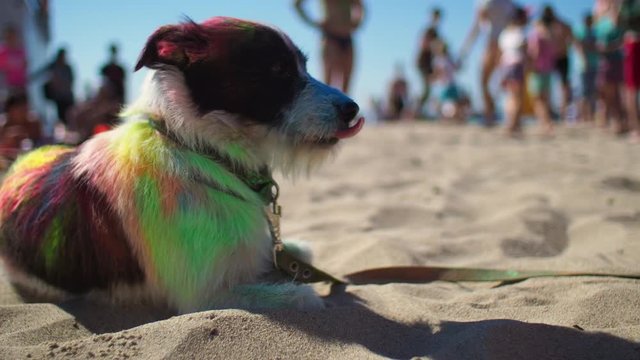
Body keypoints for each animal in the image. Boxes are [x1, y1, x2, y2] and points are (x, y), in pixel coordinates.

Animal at [0, 16, 362, 314]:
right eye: (278, 70)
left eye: (303, 66)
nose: (353, 109)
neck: (203, 152)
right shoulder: (203, 295)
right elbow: (299, 296)